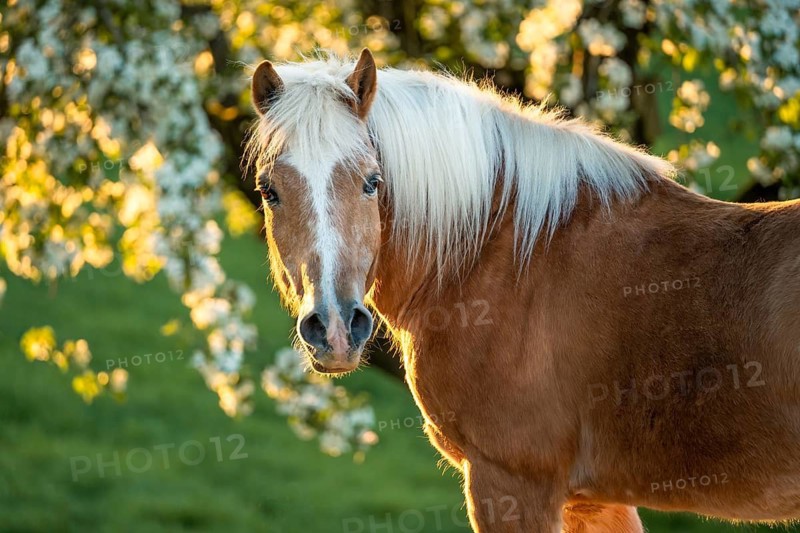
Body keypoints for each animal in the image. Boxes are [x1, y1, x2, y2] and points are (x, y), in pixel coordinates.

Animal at [245, 49, 800, 532]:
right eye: (269, 191)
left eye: (371, 182)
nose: (336, 329)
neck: (499, 250)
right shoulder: (595, 501)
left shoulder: (512, 482)